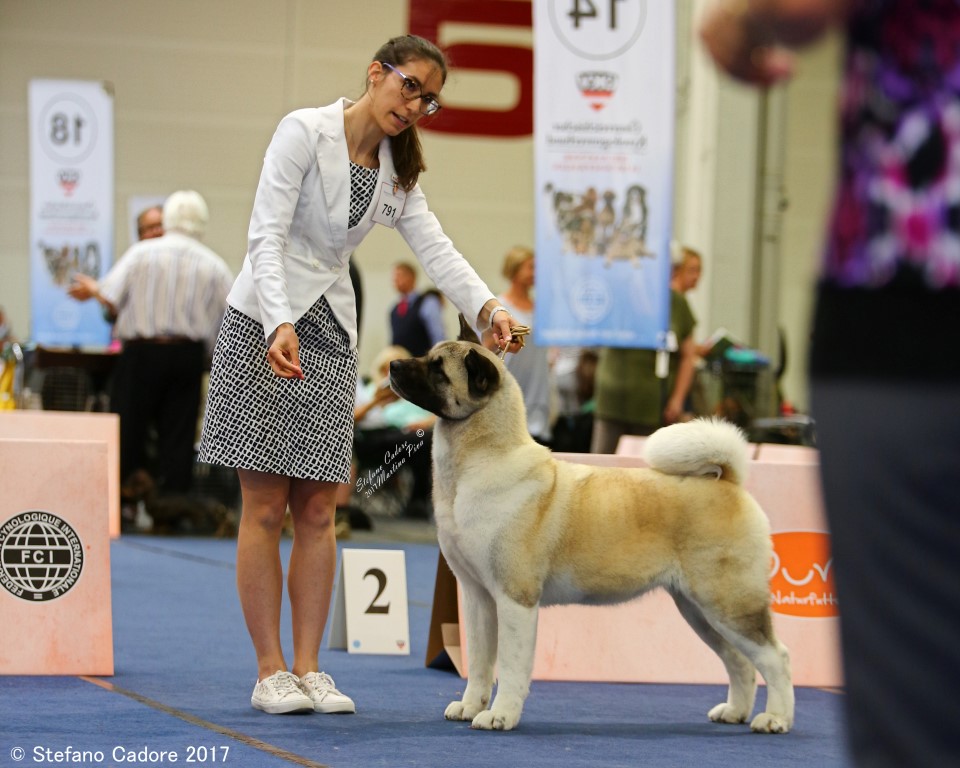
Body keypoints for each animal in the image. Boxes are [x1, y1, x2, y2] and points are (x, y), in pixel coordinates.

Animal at [390, 316, 796, 732]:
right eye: (429, 357)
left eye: (438, 369)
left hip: (729, 603)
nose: (394, 365)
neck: (476, 463)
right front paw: (471, 706)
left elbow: (511, 666)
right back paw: (735, 712)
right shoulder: (478, 599)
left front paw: (501, 715)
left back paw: (775, 719)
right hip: (699, 611)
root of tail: (728, 482)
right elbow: (480, 663)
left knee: (775, 657)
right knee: (739, 661)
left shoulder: (515, 599)